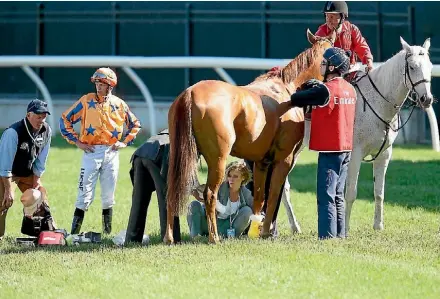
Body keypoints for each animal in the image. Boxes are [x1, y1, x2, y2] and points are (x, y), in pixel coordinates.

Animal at [164, 29, 334, 244]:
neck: (287, 91)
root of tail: (190, 92)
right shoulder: (284, 160)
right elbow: (274, 194)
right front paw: (266, 231)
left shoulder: (261, 162)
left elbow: (259, 197)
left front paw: (256, 230)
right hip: (218, 160)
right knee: (210, 194)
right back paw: (214, 237)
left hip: (179, 157)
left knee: (171, 191)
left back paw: (169, 237)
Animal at [346, 37, 434, 234]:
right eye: (412, 67)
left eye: (431, 66)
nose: (427, 99)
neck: (376, 103)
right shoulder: (355, 154)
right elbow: (350, 193)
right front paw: (344, 230)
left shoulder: (384, 154)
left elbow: (379, 193)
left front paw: (378, 225)